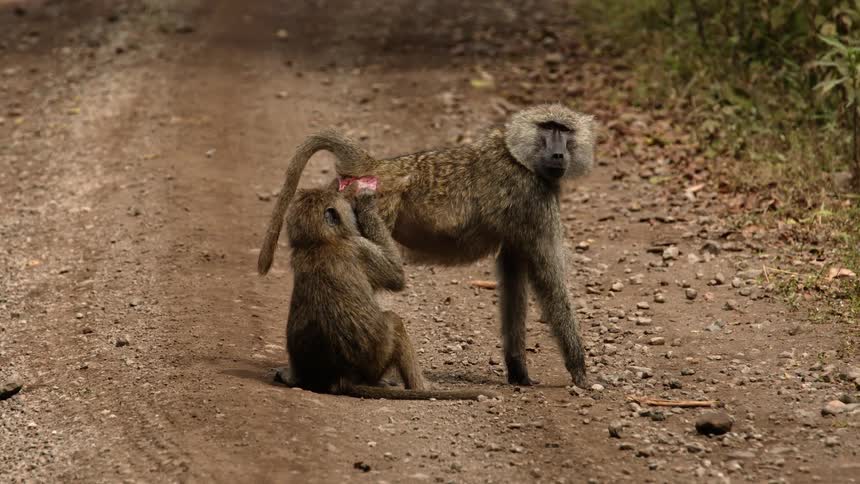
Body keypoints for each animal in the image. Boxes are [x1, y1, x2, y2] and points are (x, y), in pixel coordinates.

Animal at [279, 187, 495, 400]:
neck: (318, 241)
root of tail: (342, 377)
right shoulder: (360, 246)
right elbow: (396, 276)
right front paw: (366, 204)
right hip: (377, 361)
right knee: (394, 320)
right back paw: (421, 387)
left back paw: (291, 378)